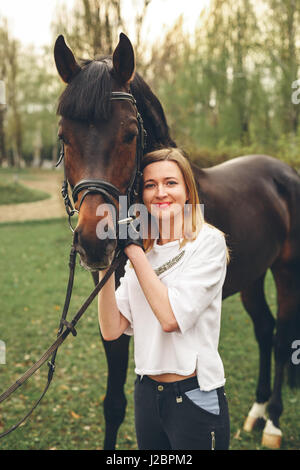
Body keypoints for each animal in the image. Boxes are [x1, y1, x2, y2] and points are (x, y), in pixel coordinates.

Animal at [54, 32, 300, 448]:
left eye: (130, 134)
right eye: (64, 137)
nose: (94, 243)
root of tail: (283, 171)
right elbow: (114, 404)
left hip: (285, 271)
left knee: (282, 338)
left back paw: (273, 423)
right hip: (252, 275)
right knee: (265, 330)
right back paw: (256, 411)